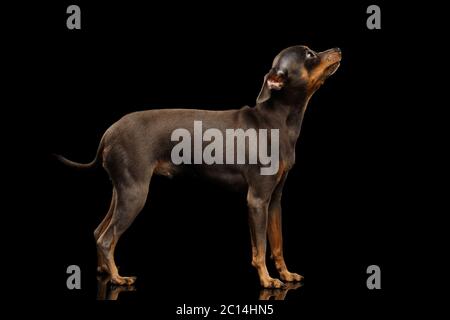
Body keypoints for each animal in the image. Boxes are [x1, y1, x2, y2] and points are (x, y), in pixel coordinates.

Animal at [57, 46, 342, 288]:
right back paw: (117, 277)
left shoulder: (274, 201)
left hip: (122, 191)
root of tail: (109, 133)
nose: (338, 49)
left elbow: (277, 243)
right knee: (107, 238)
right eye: (309, 55)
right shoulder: (257, 200)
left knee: (98, 232)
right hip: (134, 194)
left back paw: (104, 271)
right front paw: (267, 280)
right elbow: (260, 247)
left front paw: (285, 274)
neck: (276, 121)